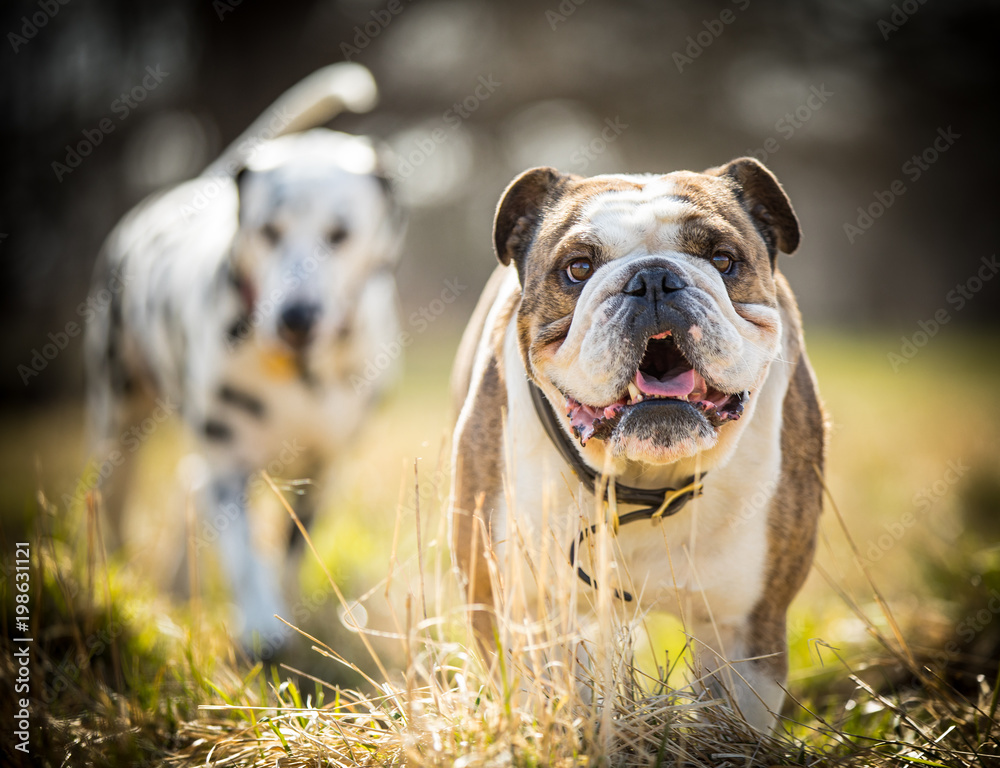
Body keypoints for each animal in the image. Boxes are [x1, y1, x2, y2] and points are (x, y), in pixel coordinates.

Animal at [82, 66, 402, 652]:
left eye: (339, 234)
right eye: (269, 230)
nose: (297, 316)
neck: (300, 374)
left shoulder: (319, 472)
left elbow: (290, 551)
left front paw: (285, 612)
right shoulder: (230, 465)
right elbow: (245, 554)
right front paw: (258, 626)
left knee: (187, 485)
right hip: (118, 419)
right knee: (116, 495)